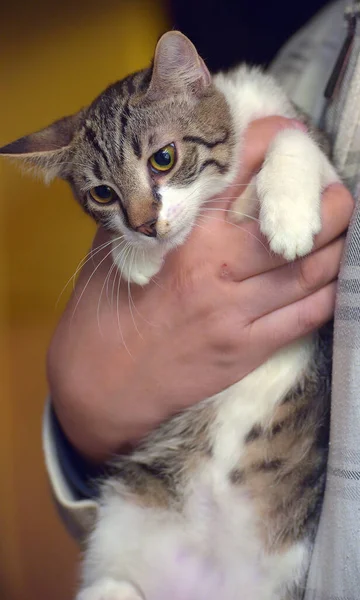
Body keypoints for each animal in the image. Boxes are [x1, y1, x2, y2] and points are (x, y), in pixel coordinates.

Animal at [0, 31, 338, 600]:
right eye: (103, 193)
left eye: (164, 158)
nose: (145, 226)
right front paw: (132, 257)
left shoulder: (324, 159)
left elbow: (294, 144)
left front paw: (289, 214)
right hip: (126, 519)